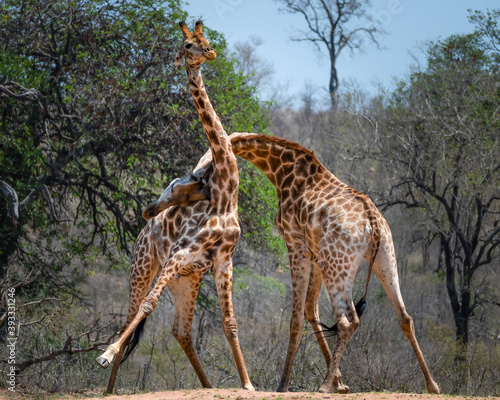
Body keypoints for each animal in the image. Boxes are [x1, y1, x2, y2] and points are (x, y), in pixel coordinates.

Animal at [94, 20, 254, 392]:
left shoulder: (222, 260)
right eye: (188, 44)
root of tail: (142, 232)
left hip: (187, 280)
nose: (210, 52)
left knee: (181, 330)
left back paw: (208, 387)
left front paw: (248, 384)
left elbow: (230, 322)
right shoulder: (180, 253)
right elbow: (150, 304)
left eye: (204, 39)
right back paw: (107, 386)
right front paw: (105, 354)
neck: (225, 195)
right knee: (133, 314)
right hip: (143, 267)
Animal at [146, 133, 440, 396]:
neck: (281, 170)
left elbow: (296, 317)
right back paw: (432, 385)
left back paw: (323, 387)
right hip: (382, 258)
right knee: (404, 317)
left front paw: (285, 384)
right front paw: (340, 383)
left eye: (184, 184)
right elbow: (311, 310)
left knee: (348, 321)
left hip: (339, 264)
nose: (152, 209)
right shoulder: (315, 253)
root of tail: (372, 221)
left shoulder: (294, 243)